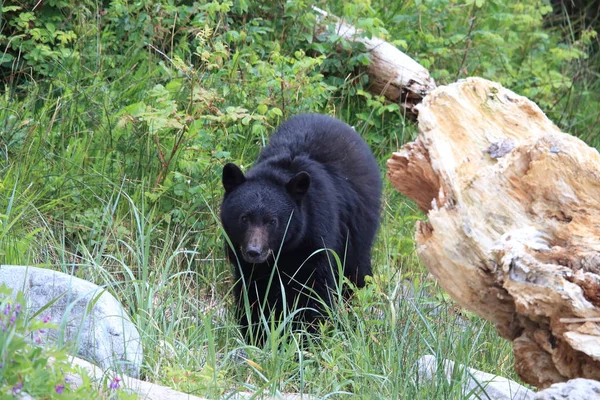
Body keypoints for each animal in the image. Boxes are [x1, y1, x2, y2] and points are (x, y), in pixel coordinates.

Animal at [219, 113, 380, 344]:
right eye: (244, 218)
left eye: (272, 221)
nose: (254, 251)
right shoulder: (244, 259)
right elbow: (253, 292)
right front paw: (257, 334)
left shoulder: (317, 234)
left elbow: (315, 289)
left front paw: (308, 336)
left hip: (359, 224)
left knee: (356, 269)